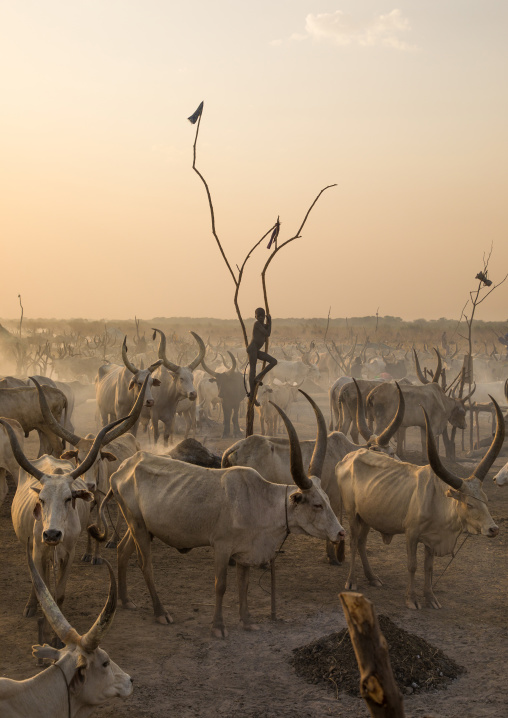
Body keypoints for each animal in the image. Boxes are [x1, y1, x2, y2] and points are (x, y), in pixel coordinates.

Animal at [89, 392, 345, 637]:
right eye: (317, 505)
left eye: (327, 500)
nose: (341, 533)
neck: (257, 499)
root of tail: (125, 467)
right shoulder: (222, 548)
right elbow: (220, 585)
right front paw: (218, 626)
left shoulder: (244, 551)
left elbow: (244, 584)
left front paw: (247, 621)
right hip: (138, 527)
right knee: (146, 565)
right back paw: (161, 612)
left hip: (141, 527)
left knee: (122, 551)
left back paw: (125, 600)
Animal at [335, 396, 503, 609]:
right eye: (469, 504)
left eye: (486, 500)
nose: (493, 529)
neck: (438, 502)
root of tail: (348, 458)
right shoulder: (411, 534)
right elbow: (412, 565)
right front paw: (412, 599)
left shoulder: (432, 538)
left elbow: (428, 567)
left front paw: (430, 597)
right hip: (352, 513)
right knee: (354, 541)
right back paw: (351, 581)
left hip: (367, 516)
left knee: (362, 542)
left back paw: (372, 577)